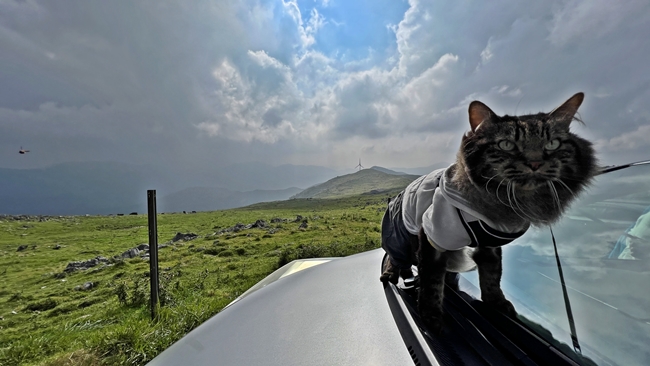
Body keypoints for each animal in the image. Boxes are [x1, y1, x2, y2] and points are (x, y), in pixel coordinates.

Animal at [380, 91, 596, 332]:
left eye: (552, 143)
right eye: (506, 144)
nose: (535, 163)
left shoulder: (489, 246)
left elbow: (492, 276)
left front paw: (497, 303)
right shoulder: (433, 236)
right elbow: (431, 283)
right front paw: (432, 318)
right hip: (399, 239)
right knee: (393, 259)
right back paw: (389, 274)